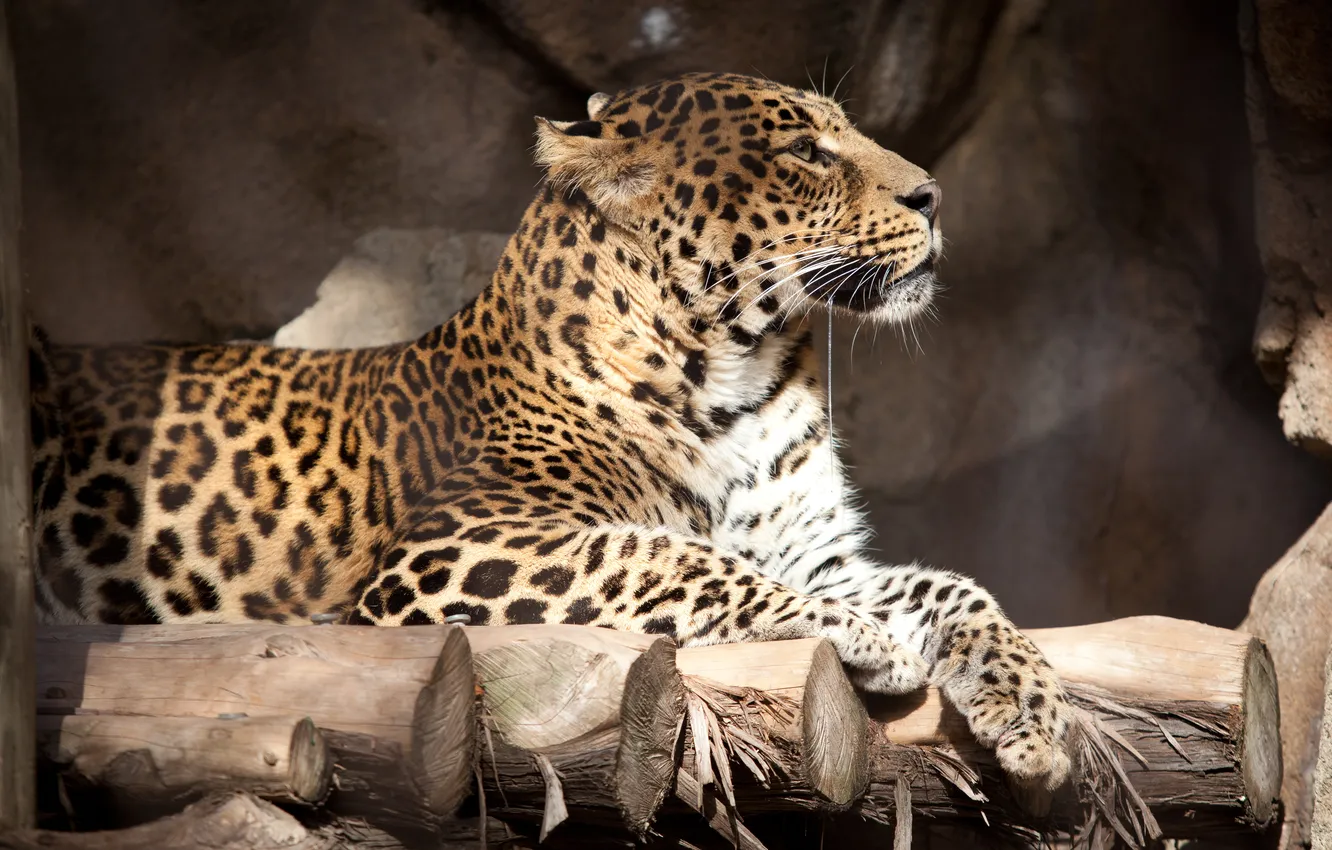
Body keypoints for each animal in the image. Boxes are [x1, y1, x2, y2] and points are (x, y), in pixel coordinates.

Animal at [29, 72, 1072, 790]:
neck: (738, 377)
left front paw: (1033, 711)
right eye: (805, 152)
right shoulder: (444, 555)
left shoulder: (813, 552)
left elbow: (955, 586)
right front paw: (864, 634)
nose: (933, 196)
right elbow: (664, 555)